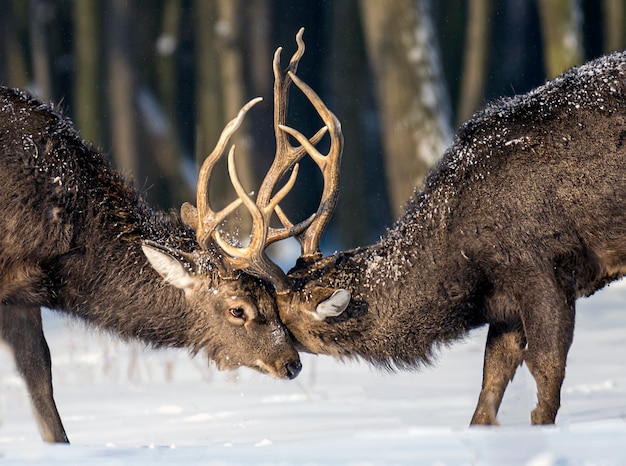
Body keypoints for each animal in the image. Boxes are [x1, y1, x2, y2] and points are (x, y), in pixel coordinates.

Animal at [211, 31, 624, 426]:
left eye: (278, 315)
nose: (286, 365)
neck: (463, 257)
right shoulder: (504, 304)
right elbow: (489, 391)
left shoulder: (543, 270)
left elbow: (545, 381)